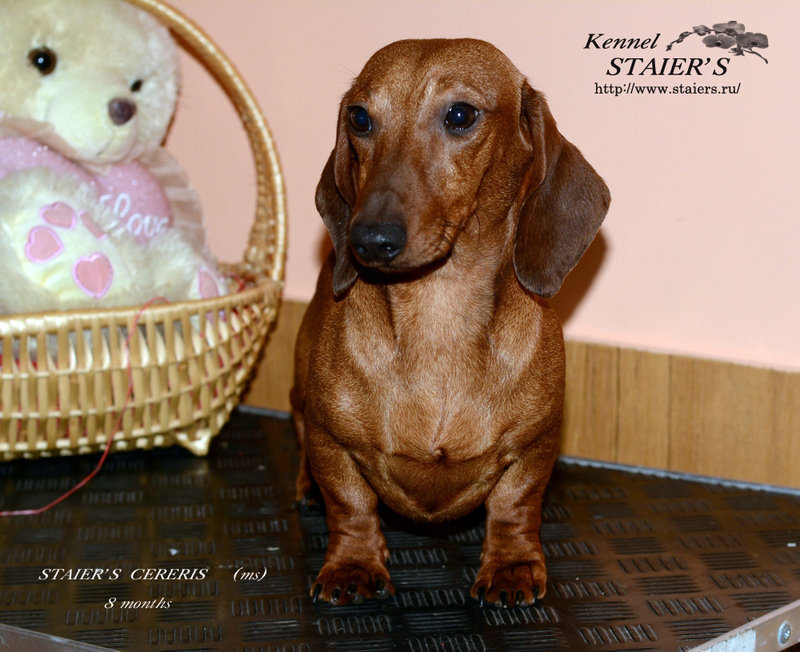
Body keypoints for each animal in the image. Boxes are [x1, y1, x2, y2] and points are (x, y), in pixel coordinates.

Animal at [291, 38, 610, 608]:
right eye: (360, 118)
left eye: (460, 115)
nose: (368, 239)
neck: (439, 314)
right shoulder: (332, 442)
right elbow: (350, 505)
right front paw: (353, 564)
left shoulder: (536, 446)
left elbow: (515, 505)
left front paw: (511, 566)